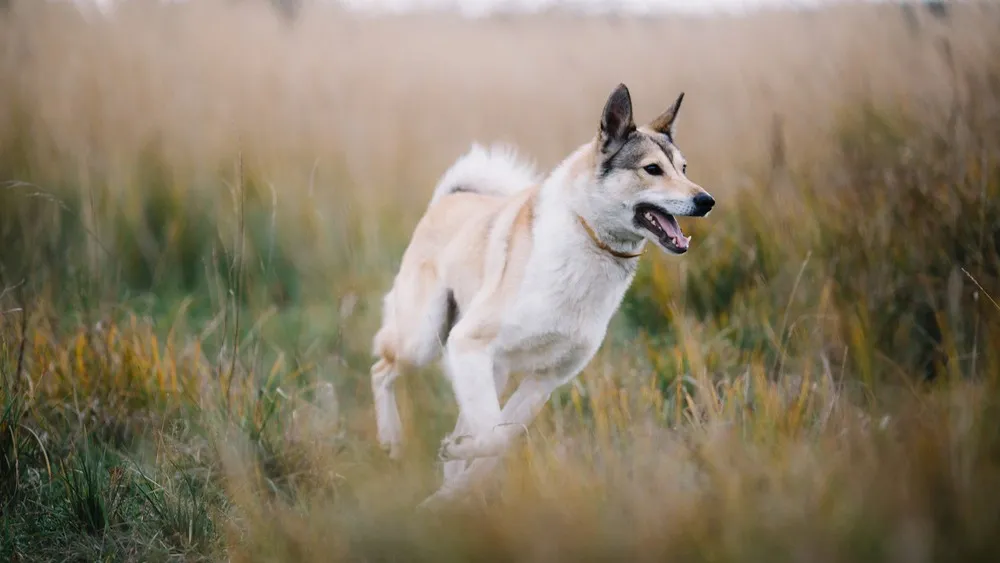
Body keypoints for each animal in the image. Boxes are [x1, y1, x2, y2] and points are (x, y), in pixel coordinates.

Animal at [372, 82, 716, 506]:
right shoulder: (469, 342)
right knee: (381, 369)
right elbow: (494, 436)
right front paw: (455, 468)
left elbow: (504, 437)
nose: (706, 201)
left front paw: (456, 479)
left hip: (490, 369)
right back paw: (392, 439)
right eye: (652, 169)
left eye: (683, 169)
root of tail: (449, 197)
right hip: (425, 341)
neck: (590, 244)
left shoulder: (547, 378)